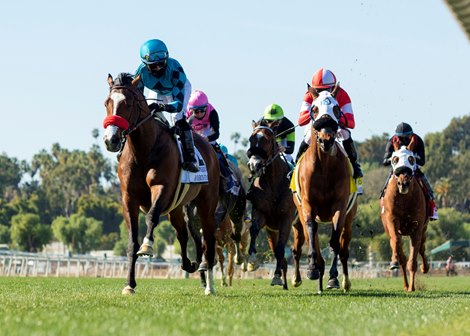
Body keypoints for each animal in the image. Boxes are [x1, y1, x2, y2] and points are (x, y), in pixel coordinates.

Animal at [102, 73, 219, 294]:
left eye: (127, 104)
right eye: (107, 102)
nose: (110, 140)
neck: (143, 150)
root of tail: (209, 148)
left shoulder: (162, 188)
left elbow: (151, 217)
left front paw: (147, 246)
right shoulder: (128, 198)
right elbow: (132, 242)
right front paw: (129, 285)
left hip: (206, 205)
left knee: (208, 240)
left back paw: (209, 286)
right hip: (177, 208)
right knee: (184, 234)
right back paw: (190, 265)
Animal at [244, 118, 296, 288]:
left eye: (267, 139)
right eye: (251, 139)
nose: (254, 165)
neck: (274, 182)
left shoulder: (286, 218)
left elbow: (280, 248)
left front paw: (277, 275)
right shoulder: (261, 212)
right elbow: (253, 230)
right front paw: (252, 262)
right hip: (271, 231)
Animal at [292, 89, 358, 294]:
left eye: (336, 108)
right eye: (314, 108)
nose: (326, 139)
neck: (324, 167)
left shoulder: (340, 206)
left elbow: (335, 242)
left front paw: (333, 278)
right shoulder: (307, 205)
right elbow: (312, 232)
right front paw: (313, 268)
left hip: (350, 217)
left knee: (343, 249)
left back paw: (342, 281)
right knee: (309, 236)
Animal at [382, 138, 430, 290]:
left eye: (411, 158)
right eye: (394, 159)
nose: (403, 183)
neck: (404, 198)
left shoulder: (417, 226)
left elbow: (413, 259)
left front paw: (412, 287)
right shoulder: (392, 220)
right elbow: (396, 242)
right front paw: (394, 262)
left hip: (423, 228)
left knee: (421, 247)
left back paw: (424, 269)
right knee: (397, 248)